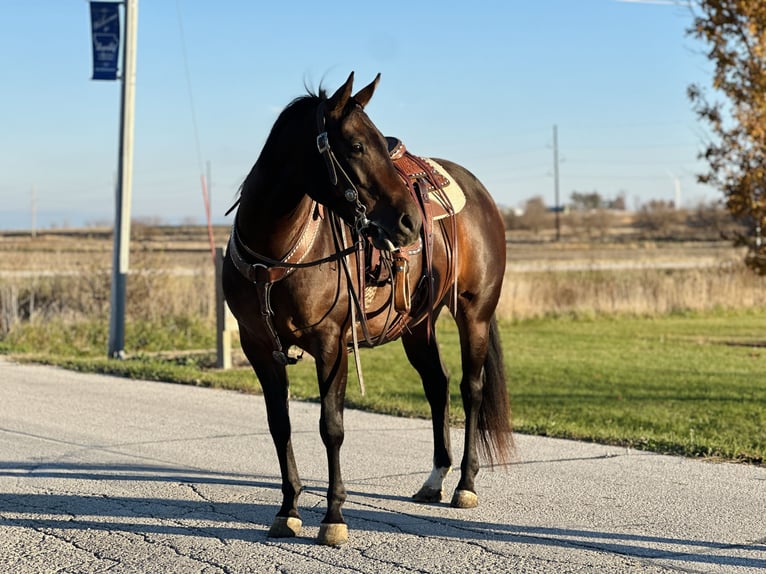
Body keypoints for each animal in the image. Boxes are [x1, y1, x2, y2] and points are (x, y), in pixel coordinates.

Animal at [219, 73, 512, 548]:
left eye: (377, 142)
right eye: (355, 145)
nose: (411, 222)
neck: (275, 254)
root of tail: (479, 192)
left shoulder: (331, 345)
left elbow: (332, 427)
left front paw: (334, 516)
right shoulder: (258, 347)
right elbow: (280, 425)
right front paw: (287, 511)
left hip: (474, 315)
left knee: (471, 388)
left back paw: (465, 485)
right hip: (417, 326)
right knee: (437, 385)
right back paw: (435, 479)